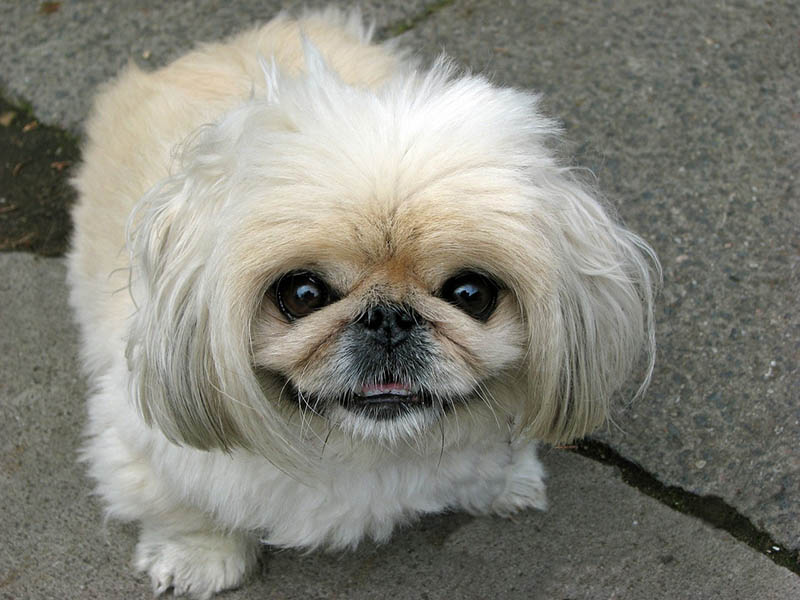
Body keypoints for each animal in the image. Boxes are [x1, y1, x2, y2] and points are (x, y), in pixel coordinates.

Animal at [67, 7, 656, 596]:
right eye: (303, 295)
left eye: (471, 294)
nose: (388, 319)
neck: (365, 447)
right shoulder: (139, 438)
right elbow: (182, 504)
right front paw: (199, 555)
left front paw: (506, 480)